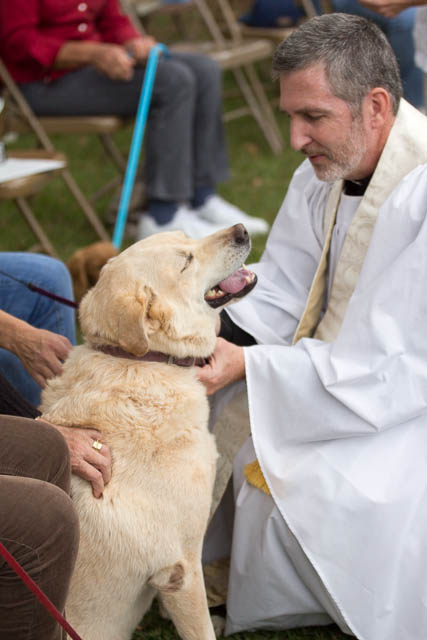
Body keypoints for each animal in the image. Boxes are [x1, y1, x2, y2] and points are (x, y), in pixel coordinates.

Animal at [39, 224, 254, 640]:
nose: (241, 230)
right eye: (186, 261)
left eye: (186, 236)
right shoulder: (180, 568)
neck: (143, 361)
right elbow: (200, 628)